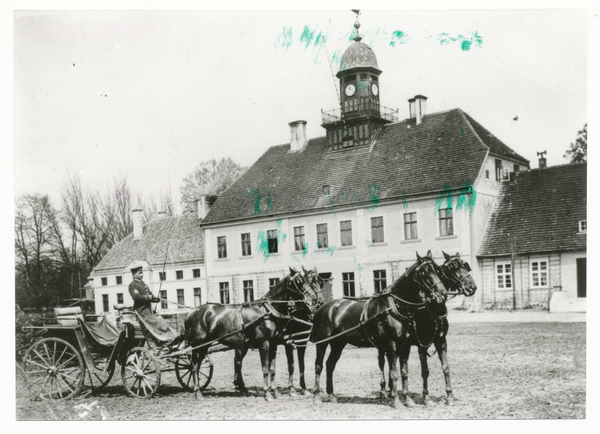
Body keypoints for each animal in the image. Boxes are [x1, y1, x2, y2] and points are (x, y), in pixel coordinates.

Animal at [183, 266, 324, 402]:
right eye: (300, 281)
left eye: (319, 283)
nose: (315, 300)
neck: (268, 311)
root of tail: (190, 313)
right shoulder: (266, 343)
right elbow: (267, 368)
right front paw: (268, 393)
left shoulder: (275, 344)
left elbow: (273, 368)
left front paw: (276, 392)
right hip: (199, 345)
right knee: (194, 366)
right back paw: (198, 392)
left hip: (209, 346)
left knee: (217, 364)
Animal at [310, 249, 446, 408]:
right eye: (424, 272)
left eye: (437, 269)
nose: (442, 293)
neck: (395, 306)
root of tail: (322, 308)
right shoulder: (391, 346)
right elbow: (394, 373)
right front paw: (397, 400)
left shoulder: (404, 346)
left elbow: (404, 372)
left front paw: (408, 399)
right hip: (322, 342)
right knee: (319, 365)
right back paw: (317, 396)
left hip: (338, 343)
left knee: (330, 365)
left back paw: (331, 395)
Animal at [378, 253, 480, 406]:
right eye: (453, 267)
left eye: (465, 266)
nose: (471, 287)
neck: (431, 309)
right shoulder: (422, 344)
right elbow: (425, 370)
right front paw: (426, 397)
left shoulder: (441, 341)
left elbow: (446, 368)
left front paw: (449, 395)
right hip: (384, 344)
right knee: (382, 362)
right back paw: (384, 390)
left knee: (393, 365)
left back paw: (392, 391)